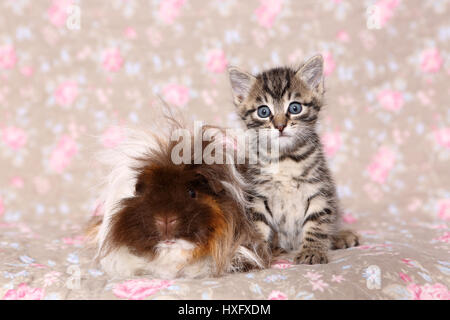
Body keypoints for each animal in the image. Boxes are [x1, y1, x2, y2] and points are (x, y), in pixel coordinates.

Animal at [229, 54, 358, 264]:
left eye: (295, 108)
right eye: (263, 111)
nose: (280, 126)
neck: (285, 159)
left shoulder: (319, 188)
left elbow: (318, 223)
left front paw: (312, 251)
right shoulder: (257, 195)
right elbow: (257, 226)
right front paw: (254, 254)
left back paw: (340, 236)